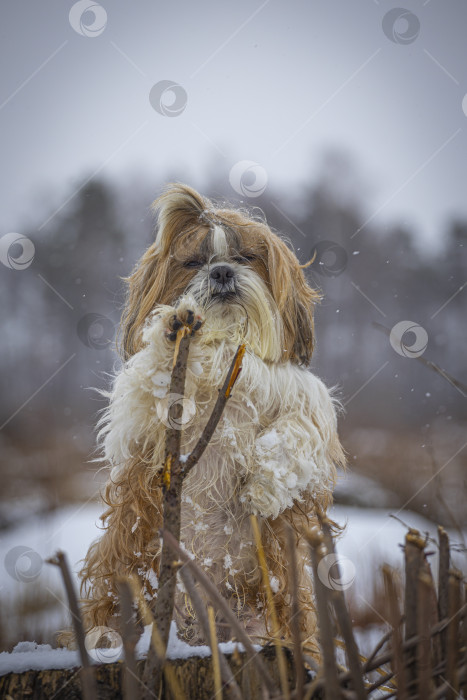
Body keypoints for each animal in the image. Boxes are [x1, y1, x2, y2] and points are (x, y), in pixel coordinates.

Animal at [79, 182, 344, 652]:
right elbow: (153, 383)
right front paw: (171, 330)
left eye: (246, 257)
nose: (220, 272)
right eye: (193, 262)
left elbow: (298, 429)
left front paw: (261, 487)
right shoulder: (140, 426)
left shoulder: (303, 399)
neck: (222, 346)